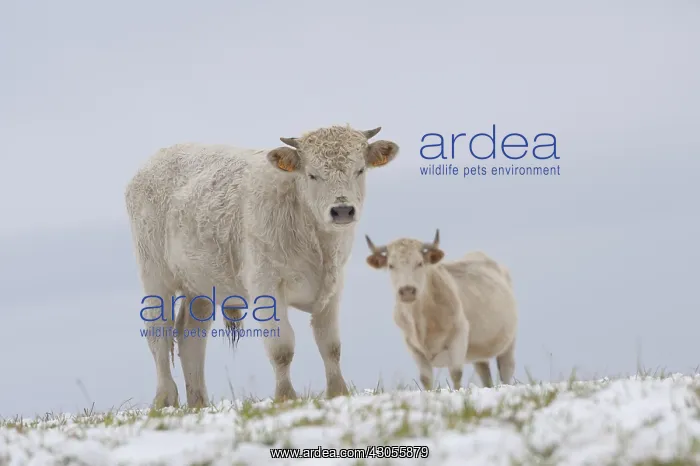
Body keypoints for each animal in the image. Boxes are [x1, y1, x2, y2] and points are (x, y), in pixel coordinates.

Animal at [125, 125, 400, 408]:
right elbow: (282, 348)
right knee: (159, 331)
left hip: (200, 286)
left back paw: (199, 402)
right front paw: (285, 397)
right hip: (155, 275)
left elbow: (330, 345)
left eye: (360, 170)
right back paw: (165, 398)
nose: (342, 210)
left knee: (191, 335)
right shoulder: (266, 285)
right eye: (312, 174)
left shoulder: (332, 287)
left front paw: (338, 393)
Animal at [363, 229, 517, 390]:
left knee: (506, 368)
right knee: (484, 372)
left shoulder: (459, 334)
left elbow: (456, 373)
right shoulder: (412, 345)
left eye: (420, 263)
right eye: (391, 265)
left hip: (510, 341)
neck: (422, 321)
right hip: (479, 352)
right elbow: (425, 379)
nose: (407, 291)